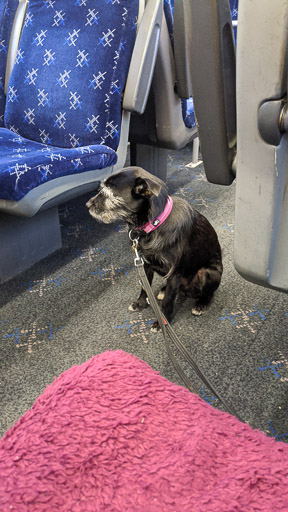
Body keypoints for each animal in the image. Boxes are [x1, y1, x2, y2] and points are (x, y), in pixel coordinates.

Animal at [86, 166, 224, 330]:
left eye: (110, 193)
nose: (87, 205)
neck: (154, 225)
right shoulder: (145, 264)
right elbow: (145, 288)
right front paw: (140, 304)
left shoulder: (174, 274)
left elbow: (168, 302)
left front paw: (163, 322)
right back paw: (163, 290)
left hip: (207, 273)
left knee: (209, 293)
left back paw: (201, 304)